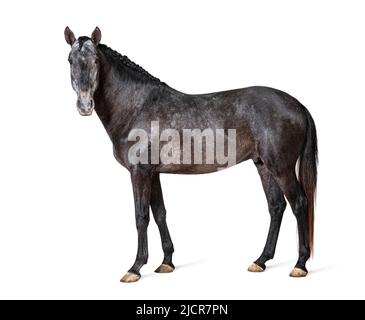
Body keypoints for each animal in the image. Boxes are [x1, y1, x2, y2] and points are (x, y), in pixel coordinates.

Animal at [64, 27, 316, 282]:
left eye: (96, 60)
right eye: (70, 60)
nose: (84, 105)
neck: (136, 106)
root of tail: (298, 105)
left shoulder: (139, 172)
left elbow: (141, 216)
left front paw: (135, 267)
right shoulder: (153, 174)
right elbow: (160, 213)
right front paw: (166, 262)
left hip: (281, 168)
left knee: (299, 203)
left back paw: (300, 264)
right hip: (263, 165)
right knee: (276, 206)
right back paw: (261, 260)